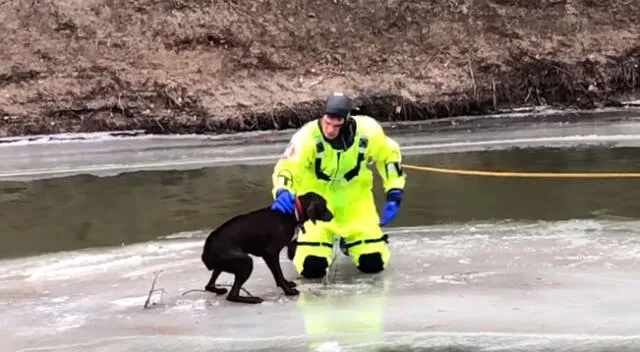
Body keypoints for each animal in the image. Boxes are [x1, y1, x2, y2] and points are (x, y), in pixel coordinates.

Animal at [200, 191, 332, 304]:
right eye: (324, 205)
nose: (332, 216)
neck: (292, 212)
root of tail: (206, 251)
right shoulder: (271, 253)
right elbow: (279, 274)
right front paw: (288, 291)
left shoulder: (268, 255)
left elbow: (279, 275)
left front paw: (287, 285)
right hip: (245, 262)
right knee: (232, 295)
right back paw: (252, 299)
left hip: (223, 265)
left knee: (209, 285)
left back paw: (219, 290)